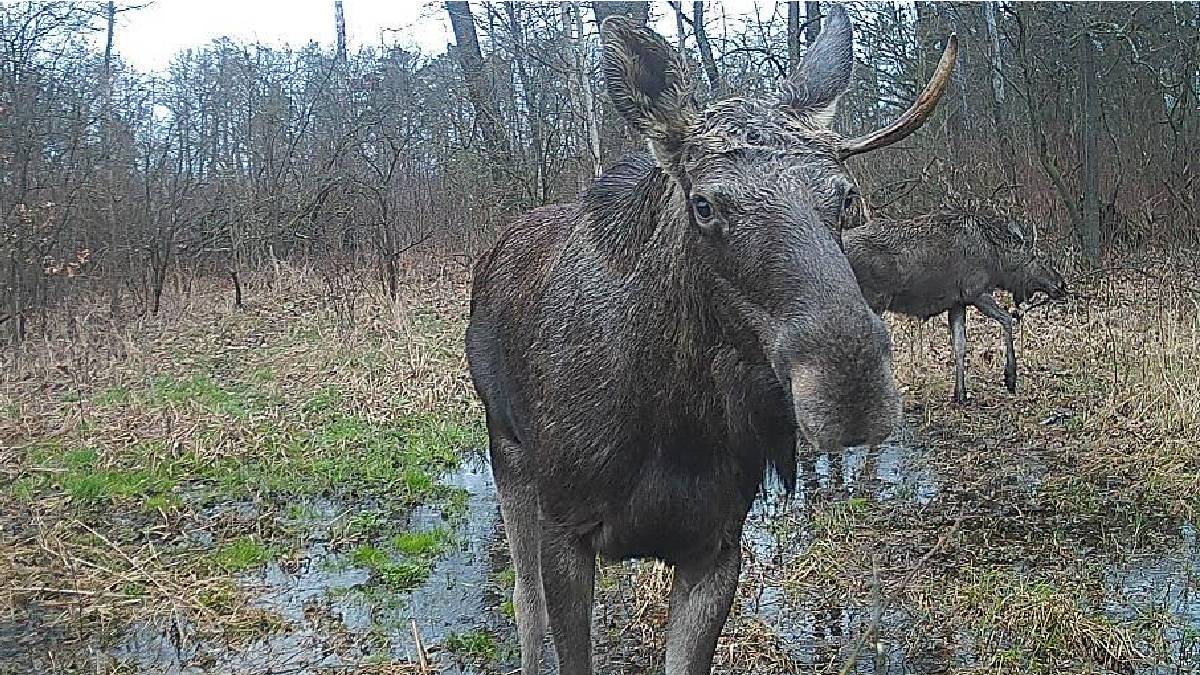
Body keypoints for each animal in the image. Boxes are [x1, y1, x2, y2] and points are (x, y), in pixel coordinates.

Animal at [465, 10, 955, 672]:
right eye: (703, 204)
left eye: (847, 196)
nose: (849, 387)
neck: (676, 425)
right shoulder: (565, 526)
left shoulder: (718, 545)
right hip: (507, 450)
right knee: (523, 599)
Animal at [844, 208, 1070, 398]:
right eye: (1037, 258)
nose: (1061, 284)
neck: (998, 262)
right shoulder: (975, 292)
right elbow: (1007, 319)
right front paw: (1010, 378)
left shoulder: (957, 302)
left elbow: (960, 346)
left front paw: (960, 394)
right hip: (874, 299)